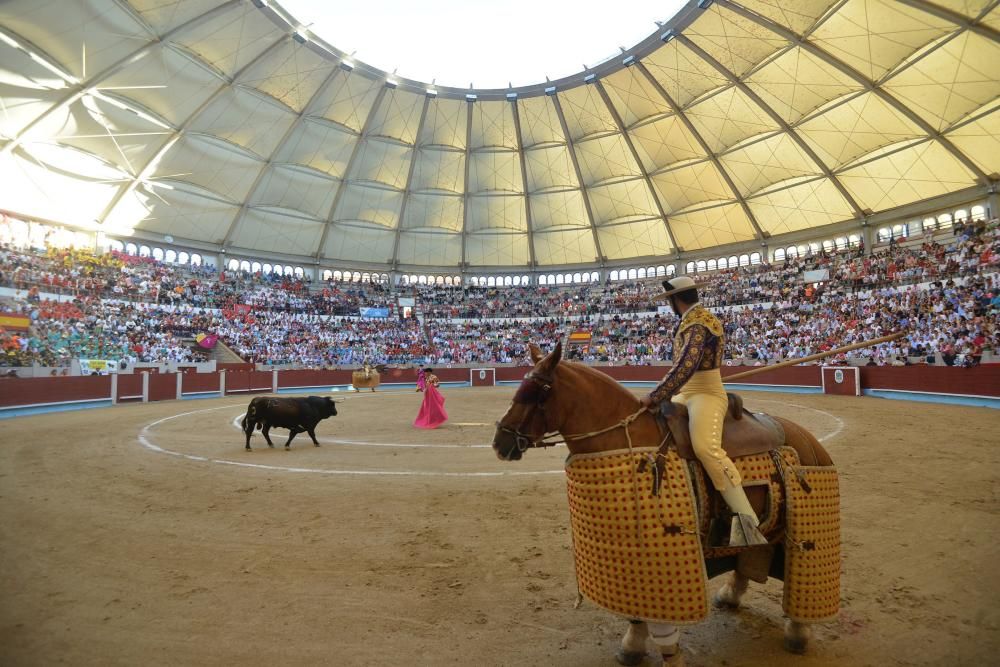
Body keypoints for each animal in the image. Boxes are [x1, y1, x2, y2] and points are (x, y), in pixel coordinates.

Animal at [492, 344, 836, 667]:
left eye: (536, 392)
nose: (499, 444)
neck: (623, 435)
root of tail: (809, 440)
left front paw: (660, 652)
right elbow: (637, 612)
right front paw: (632, 647)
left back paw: (797, 631)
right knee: (752, 554)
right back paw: (729, 595)